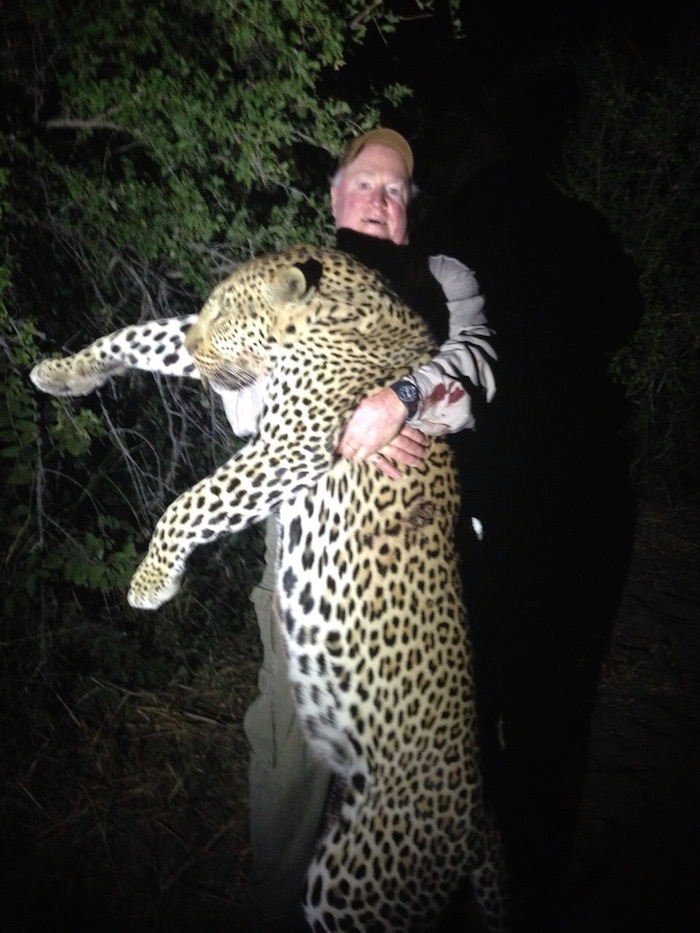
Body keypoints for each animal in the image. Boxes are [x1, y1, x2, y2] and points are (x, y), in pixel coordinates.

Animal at [31, 244, 509, 932]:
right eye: (209, 308)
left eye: (228, 313)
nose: (201, 345)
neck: (331, 310)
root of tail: (478, 825)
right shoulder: (251, 386)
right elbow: (143, 334)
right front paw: (64, 372)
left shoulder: (294, 443)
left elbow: (193, 501)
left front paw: (151, 581)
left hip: (357, 886)